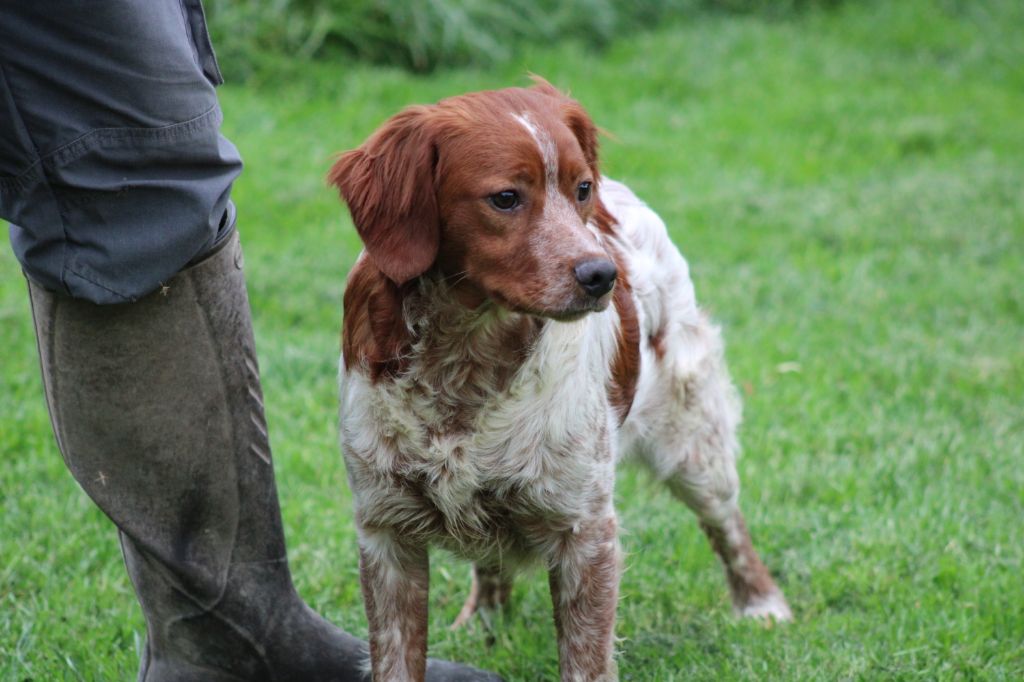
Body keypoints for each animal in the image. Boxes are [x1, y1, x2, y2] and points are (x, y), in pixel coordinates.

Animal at [327, 80, 790, 679]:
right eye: (505, 198)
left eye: (581, 189)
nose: (602, 275)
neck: (466, 360)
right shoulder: (386, 532)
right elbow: (396, 657)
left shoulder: (584, 531)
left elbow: (586, 659)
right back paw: (484, 622)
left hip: (691, 443)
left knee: (728, 523)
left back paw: (762, 604)